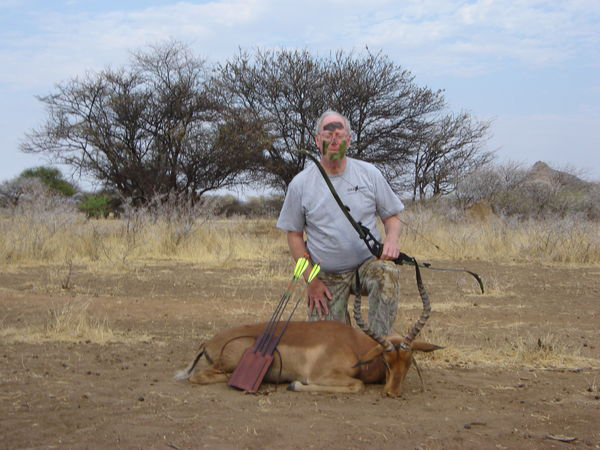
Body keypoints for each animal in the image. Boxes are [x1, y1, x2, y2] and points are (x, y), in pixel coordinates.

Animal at [175, 265, 441, 396]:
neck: (355, 347)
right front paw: (295, 385)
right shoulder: (322, 376)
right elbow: (357, 385)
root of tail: (208, 342)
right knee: (198, 376)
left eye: (409, 362)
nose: (392, 393)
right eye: (386, 361)